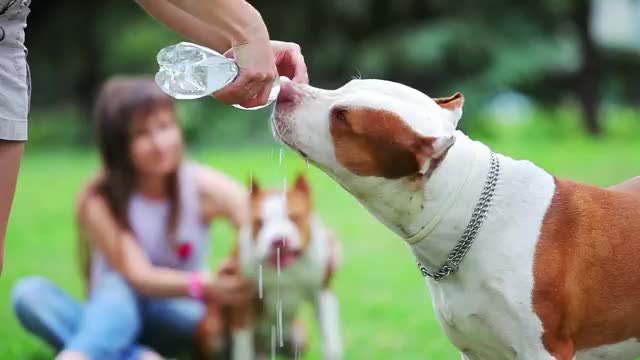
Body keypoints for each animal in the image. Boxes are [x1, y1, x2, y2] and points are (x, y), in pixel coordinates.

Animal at [198, 175, 342, 360]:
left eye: (294, 217)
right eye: (260, 222)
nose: (279, 240)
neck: (285, 271)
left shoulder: (322, 292)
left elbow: (330, 339)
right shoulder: (242, 300)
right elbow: (243, 348)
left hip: (298, 335)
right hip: (212, 330)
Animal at [272, 79, 640, 360]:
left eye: (342, 117)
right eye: (344, 86)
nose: (285, 87)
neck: (471, 216)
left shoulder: (544, 351)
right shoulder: (475, 350)